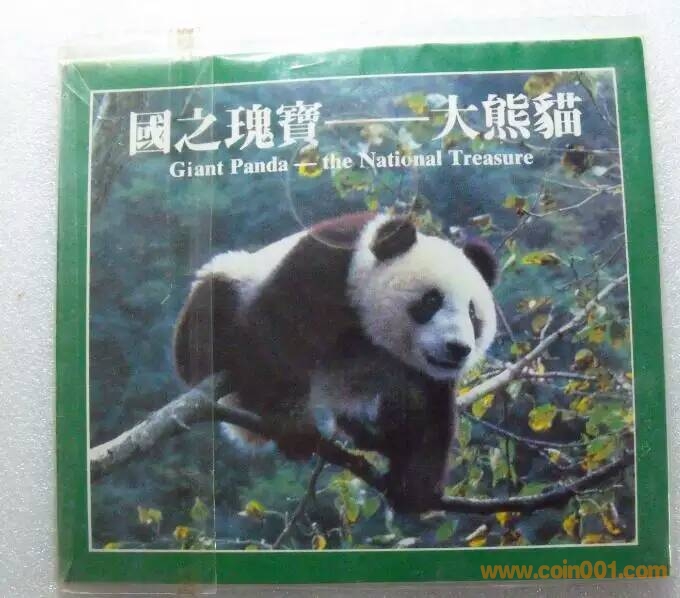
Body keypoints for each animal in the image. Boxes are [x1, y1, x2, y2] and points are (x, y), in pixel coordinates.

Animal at [174, 211, 498, 511]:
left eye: (473, 314)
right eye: (431, 301)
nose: (458, 349)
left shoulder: (421, 371)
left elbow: (427, 407)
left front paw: (415, 486)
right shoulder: (322, 270)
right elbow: (276, 339)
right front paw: (294, 430)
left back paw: (368, 432)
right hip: (232, 284)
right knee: (209, 313)